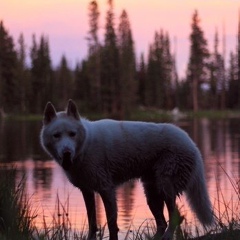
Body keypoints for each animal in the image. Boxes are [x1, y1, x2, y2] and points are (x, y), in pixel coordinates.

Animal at [40, 99, 214, 240]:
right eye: (56, 135)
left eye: (72, 134)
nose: (67, 152)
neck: (85, 146)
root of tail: (192, 143)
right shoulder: (87, 191)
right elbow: (92, 223)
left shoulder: (106, 190)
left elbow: (111, 225)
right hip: (152, 194)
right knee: (162, 223)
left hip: (165, 186)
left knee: (175, 216)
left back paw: (167, 236)